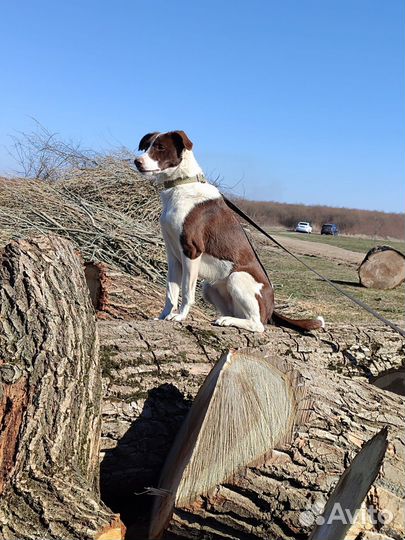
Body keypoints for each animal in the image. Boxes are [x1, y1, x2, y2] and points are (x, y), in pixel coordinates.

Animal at [134, 131, 324, 334]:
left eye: (160, 147)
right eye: (147, 146)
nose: (137, 161)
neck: (182, 184)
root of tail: (271, 308)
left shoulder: (191, 251)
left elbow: (186, 291)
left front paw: (180, 316)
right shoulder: (173, 255)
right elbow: (171, 292)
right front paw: (164, 316)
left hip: (236, 277)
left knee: (258, 325)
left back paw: (230, 321)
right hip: (210, 286)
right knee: (236, 314)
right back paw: (225, 319)